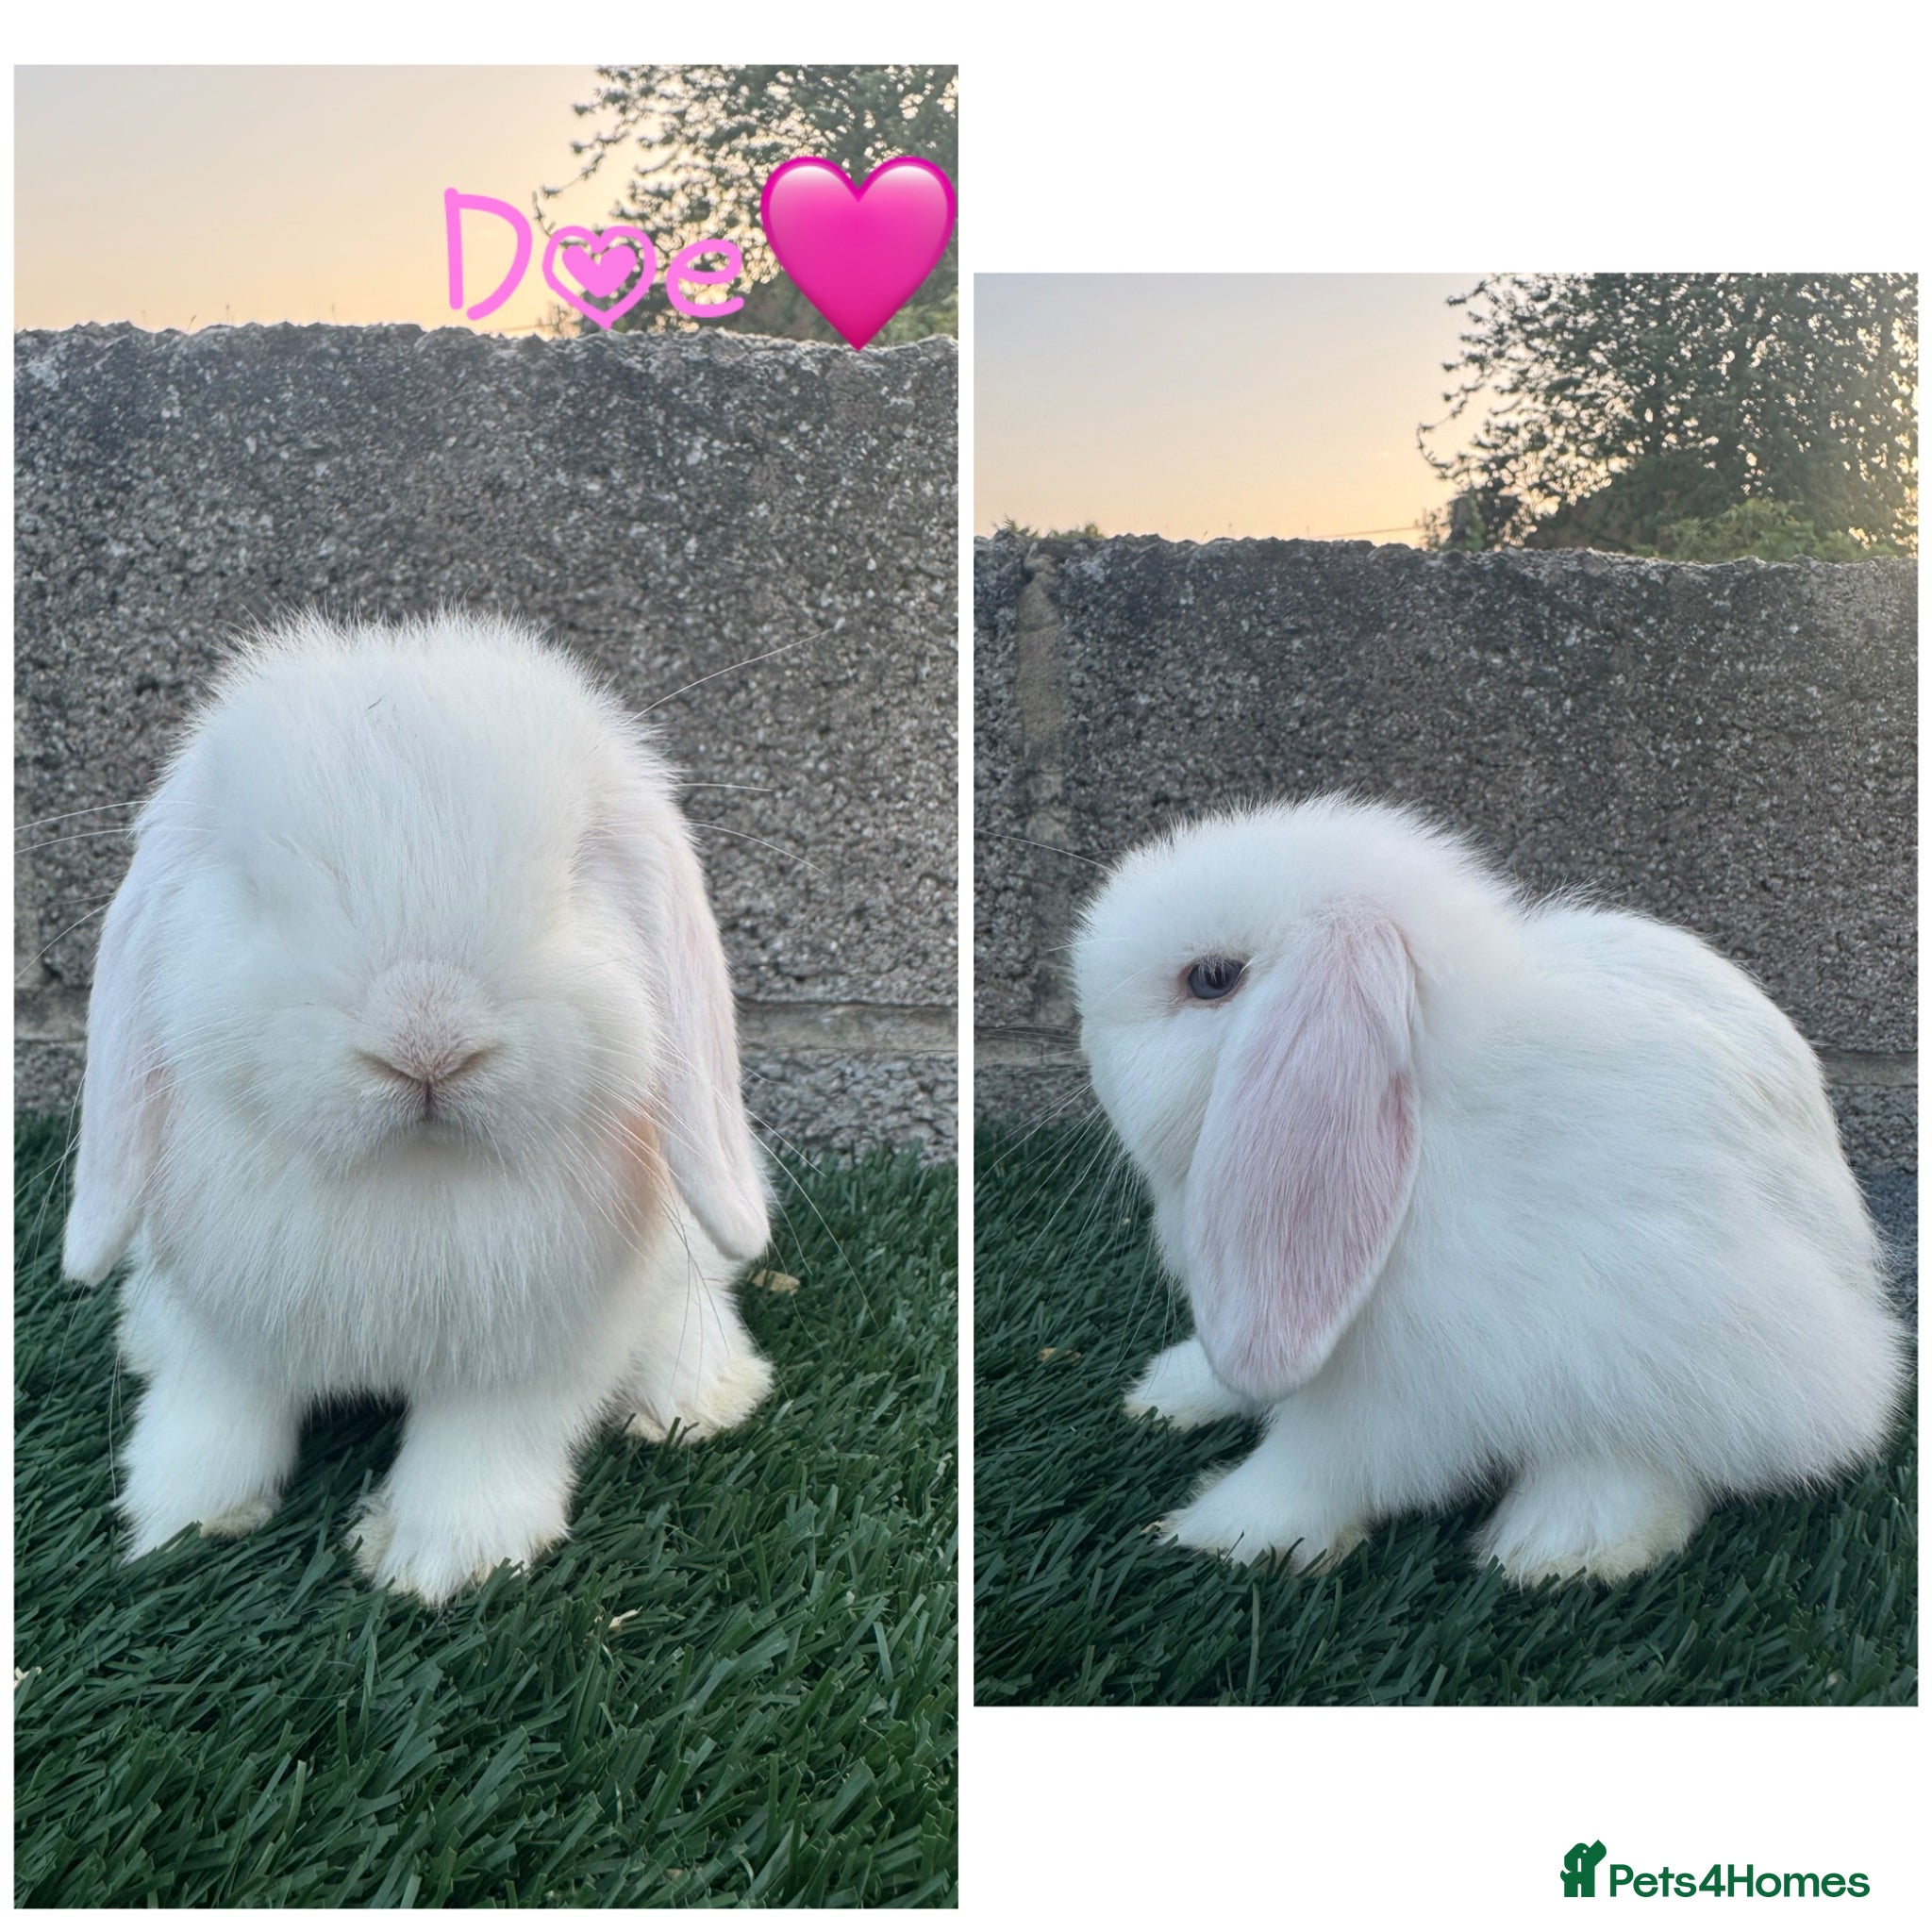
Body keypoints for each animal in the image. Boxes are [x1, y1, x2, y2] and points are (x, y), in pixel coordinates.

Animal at [63, 610, 777, 1604]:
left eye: (575, 873)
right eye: (251, 885)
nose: (427, 1040)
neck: (408, 1179)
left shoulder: (527, 1353)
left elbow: (480, 1447)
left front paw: (437, 1561)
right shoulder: (222, 1321)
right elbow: (212, 1412)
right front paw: (180, 1518)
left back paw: (696, 1398)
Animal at [1074, 794, 1908, 1586]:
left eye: (1211, 979)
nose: (1083, 1037)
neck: (1422, 1126)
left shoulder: (1392, 1392)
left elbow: (1318, 1466)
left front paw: (1219, 1533)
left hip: (1694, 1350)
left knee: (1655, 1462)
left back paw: (1561, 1545)